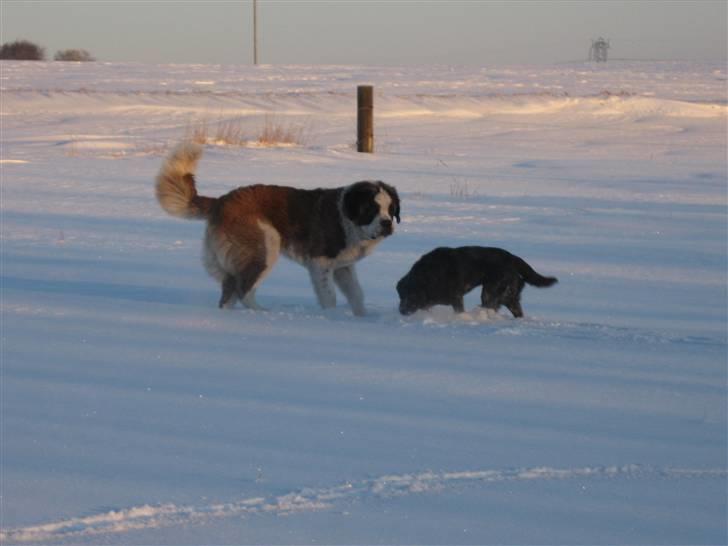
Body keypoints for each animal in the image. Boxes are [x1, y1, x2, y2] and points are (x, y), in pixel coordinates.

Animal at [156, 141, 400, 314]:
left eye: (391, 209)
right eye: (370, 209)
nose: (387, 223)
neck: (347, 217)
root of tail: (222, 200)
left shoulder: (343, 267)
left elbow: (356, 294)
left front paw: (361, 318)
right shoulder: (320, 264)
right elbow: (329, 296)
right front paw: (332, 318)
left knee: (230, 291)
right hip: (265, 246)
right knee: (243, 289)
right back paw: (262, 313)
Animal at [398, 245, 556, 316]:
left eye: (410, 295)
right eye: (401, 295)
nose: (401, 311)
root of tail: (512, 258)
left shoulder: (456, 298)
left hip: (491, 292)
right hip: (509, 296)